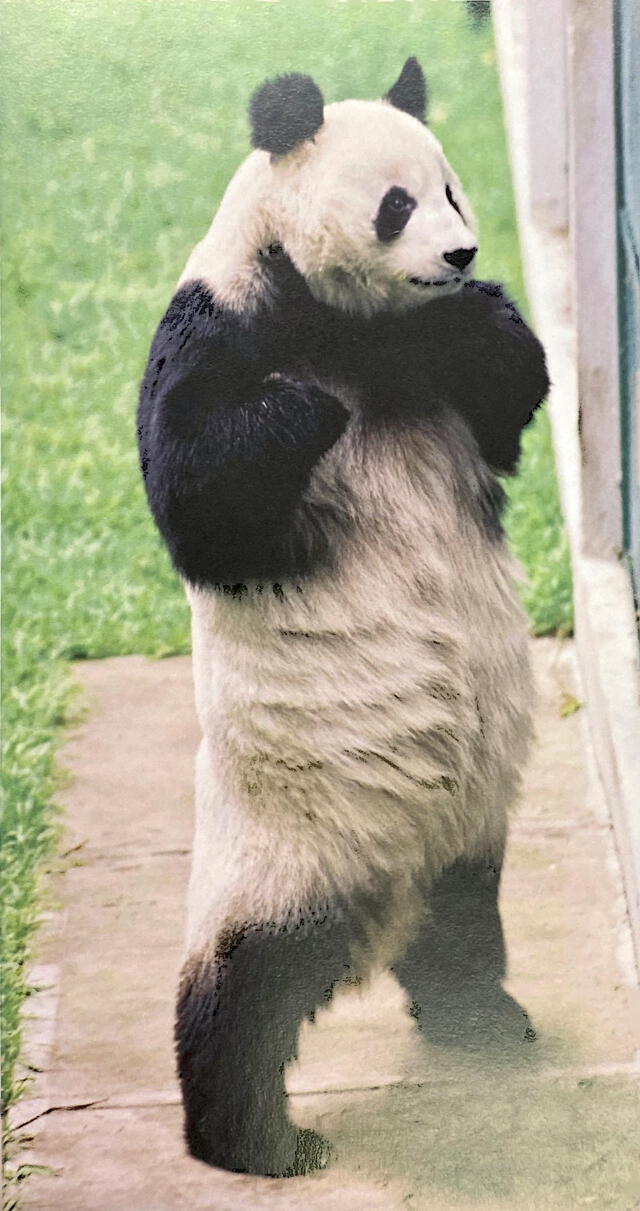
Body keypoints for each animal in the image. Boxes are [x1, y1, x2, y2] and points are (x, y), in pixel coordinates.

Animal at [137, 59, 547, 1181]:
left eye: (452, 190)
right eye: (395, 204)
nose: (460, 254)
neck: (361, 329)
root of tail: (380, 903)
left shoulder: (436, 364)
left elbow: (508, 396)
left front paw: (488, 320)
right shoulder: (216, 326)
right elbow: (200, 501)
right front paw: (301, 404)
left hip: (469, 826)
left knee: (463, 921)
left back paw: (485, 1021)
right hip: (284, 841)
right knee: (245, 987)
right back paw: (258, 1140)